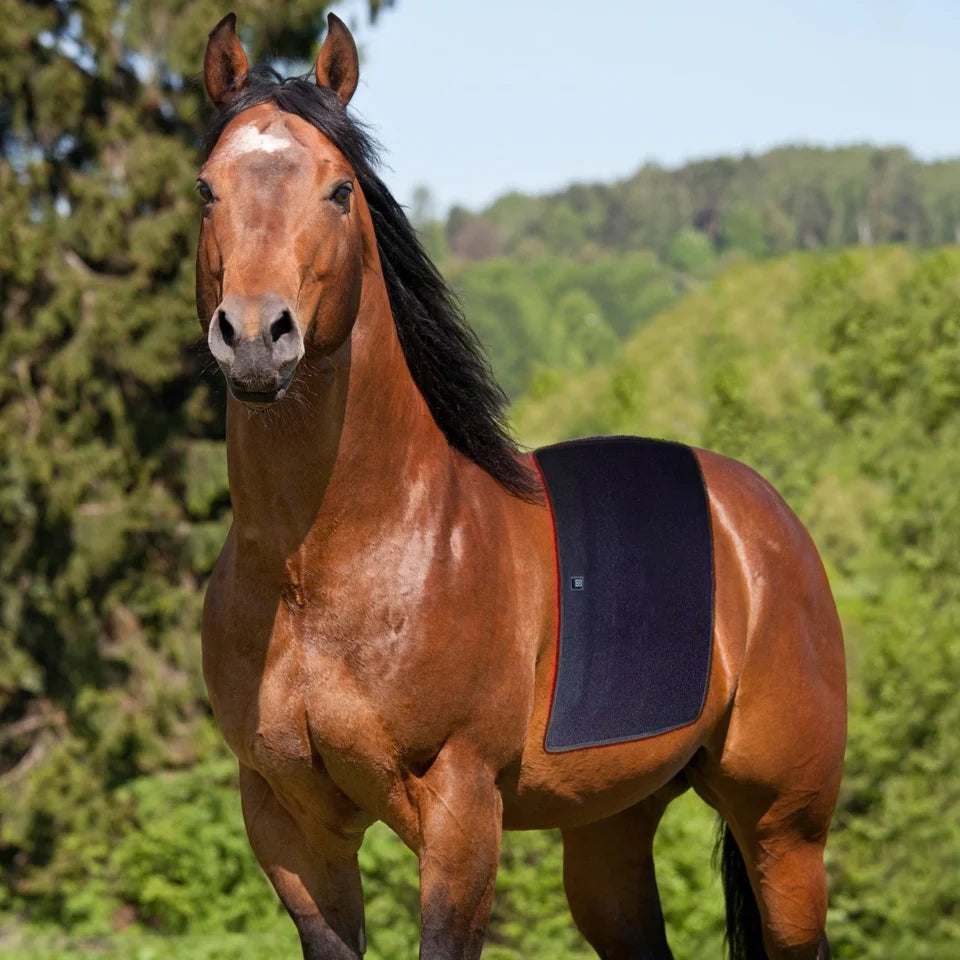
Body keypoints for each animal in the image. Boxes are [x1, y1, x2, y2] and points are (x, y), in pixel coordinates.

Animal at [195, 13, 846, 960]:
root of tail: (766, 524)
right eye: (207, 190)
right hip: (610, 826)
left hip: (785, 832)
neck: (323, 566)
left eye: (340, 191)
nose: (254, 336)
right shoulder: (290, 826)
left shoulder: (462, 810)